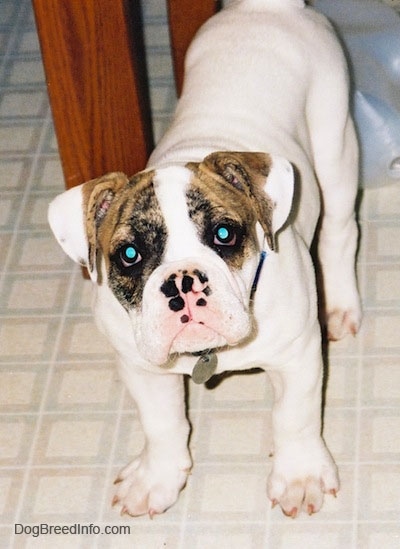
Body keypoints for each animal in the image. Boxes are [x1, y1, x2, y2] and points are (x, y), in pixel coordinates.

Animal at [48, 0, 360, 520]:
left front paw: (300, 476)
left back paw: (341, 304)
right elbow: (161, 423)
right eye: (130, 255)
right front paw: (156, 477)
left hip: (336, 148)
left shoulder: (298, 356)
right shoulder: (140, 368)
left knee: (340, 230)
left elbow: (294, 417)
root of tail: (264, 8)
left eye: (224, 235)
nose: (182, 284)